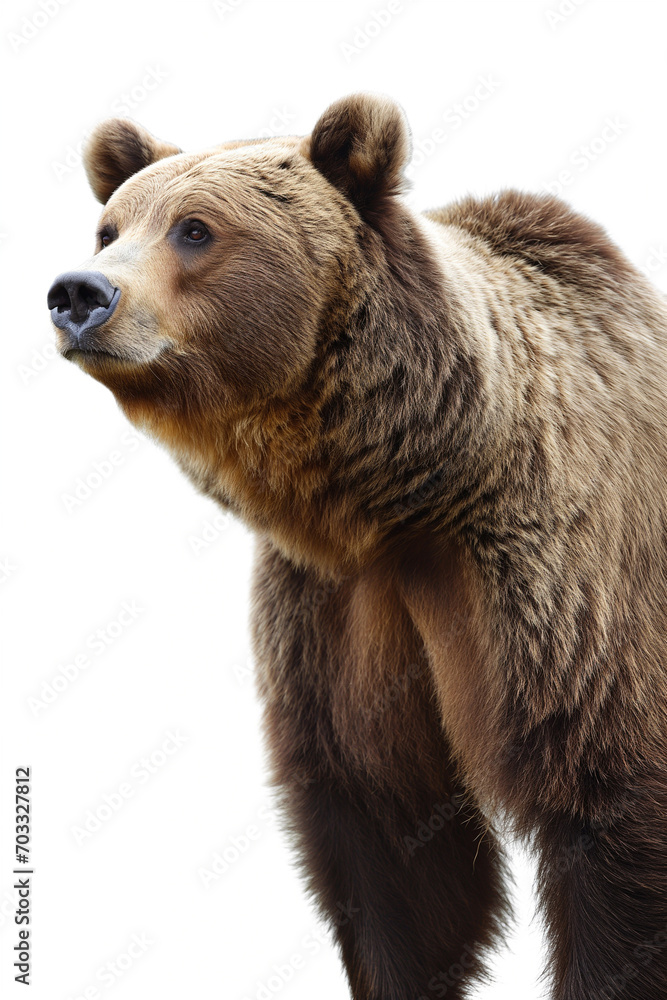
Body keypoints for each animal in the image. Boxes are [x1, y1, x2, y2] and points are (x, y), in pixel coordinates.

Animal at [47, 94, 667, 1000]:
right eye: (108, 227)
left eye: (194, 229)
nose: (79, 293)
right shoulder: (337, 608)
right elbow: (387, 840)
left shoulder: (559, 581)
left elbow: (607, 800)